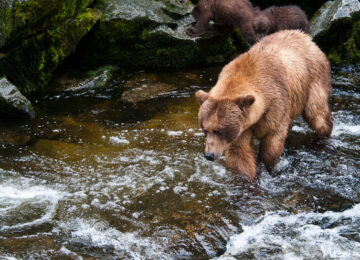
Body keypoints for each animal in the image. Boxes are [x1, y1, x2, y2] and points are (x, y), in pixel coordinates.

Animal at [195, 30, 334, 180]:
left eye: (219, 130)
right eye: (205, 129)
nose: (209, 155)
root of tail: (305, 36)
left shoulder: (274, 106)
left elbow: (272, 142)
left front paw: (265, 170)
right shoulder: (242, 125)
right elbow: (240, 153)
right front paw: (247, 177)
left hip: (314, 79)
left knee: (317, 114)